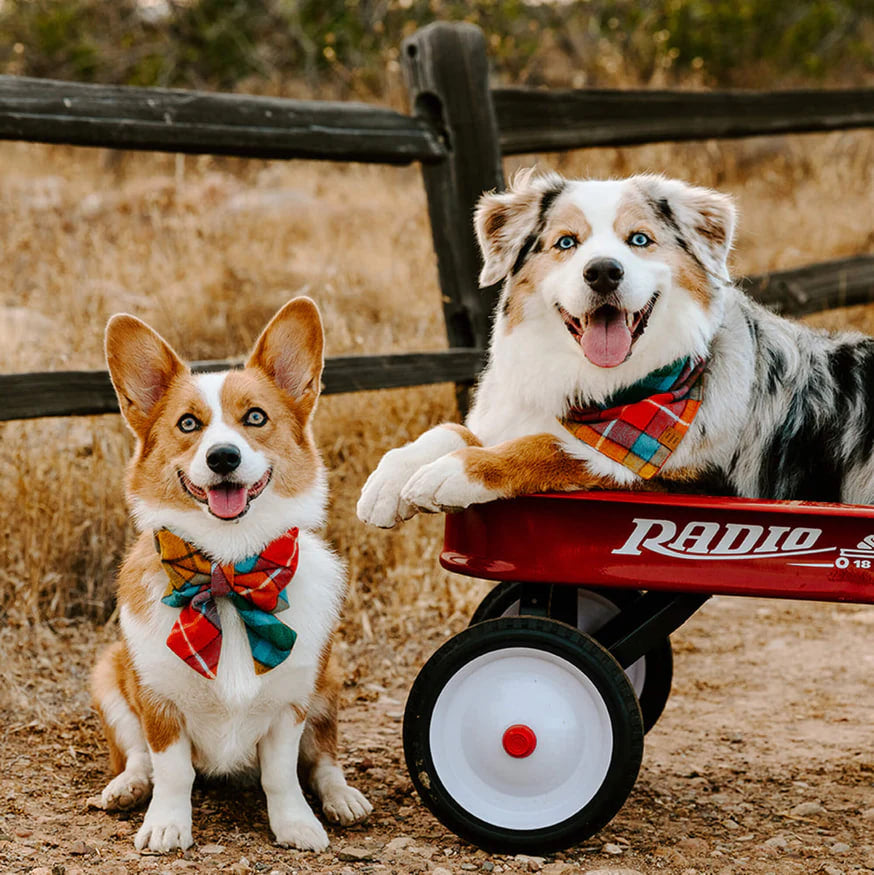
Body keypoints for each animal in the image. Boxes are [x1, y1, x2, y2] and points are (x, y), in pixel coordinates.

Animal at [91, 300, 368, 856]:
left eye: (255, 417)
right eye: (188, 424)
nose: (223, 457)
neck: (226, 567)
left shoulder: (291, 704)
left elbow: (282, 774)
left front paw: (295, 824)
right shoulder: (159, 702)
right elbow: (172, 770)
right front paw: (167, 826)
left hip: (327, 683)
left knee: (323, 759)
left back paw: (342, 797)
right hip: (108, 673)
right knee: (136, 756)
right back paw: (127, 786)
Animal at [356, 170, 874, 528]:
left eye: (639, 239)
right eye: (566, 242)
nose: (604, 271)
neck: (598, 386)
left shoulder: (689, 482)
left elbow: (556, 446)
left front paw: (453, 473)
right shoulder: (508, 412)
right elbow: (455, 430)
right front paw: (391, 477)